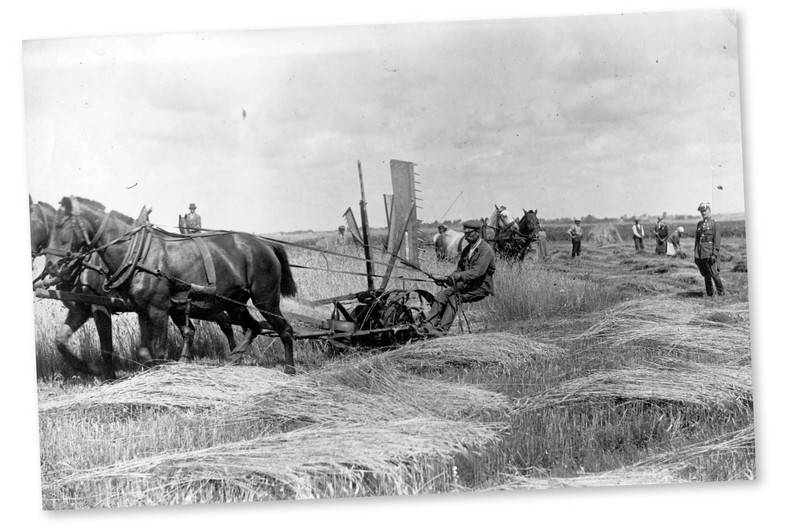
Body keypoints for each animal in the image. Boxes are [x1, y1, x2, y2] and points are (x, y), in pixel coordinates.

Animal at [42, 198, 298, 376]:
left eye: (61, 225)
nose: (52, 266)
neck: (137, 254)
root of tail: (266, 244)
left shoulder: (158, 309)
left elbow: (157, 349)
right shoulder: (142, 309)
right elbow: (144, 351)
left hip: (265, 299)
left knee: (284, 329)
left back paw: (289, 368)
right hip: (234, 302)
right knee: (252, 327)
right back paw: (230, 360)